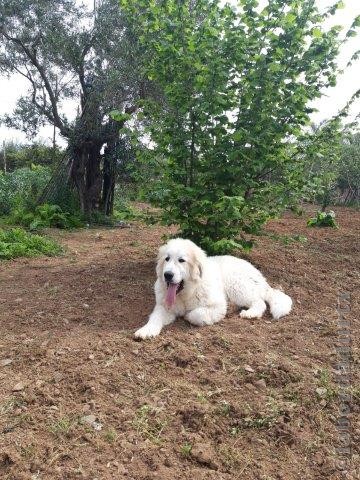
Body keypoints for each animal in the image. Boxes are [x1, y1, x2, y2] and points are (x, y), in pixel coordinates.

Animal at [135, 238, 292, 340]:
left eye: (181, 260)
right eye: (167, 259)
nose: (167, 275)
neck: (186, 293)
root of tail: (258, 273)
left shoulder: (217, 305)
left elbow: (196, 314)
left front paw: (187, 316)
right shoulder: (164, 306)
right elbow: (155, 317)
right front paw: (146, 330)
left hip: (236, 285)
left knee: (259, 302)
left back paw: (250, 313)